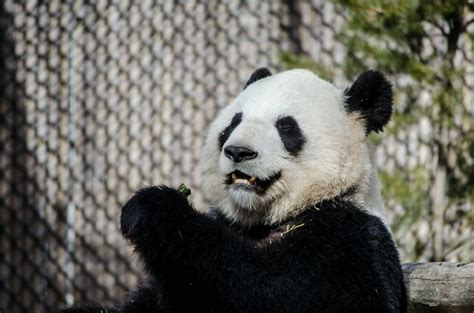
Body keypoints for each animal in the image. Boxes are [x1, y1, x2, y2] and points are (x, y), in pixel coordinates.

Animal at [61, 68, 406, 312]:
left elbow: (263, 289)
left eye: (286, 127)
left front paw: (153, 208)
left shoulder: (348, 242)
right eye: (233, 122)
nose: (239, 152)